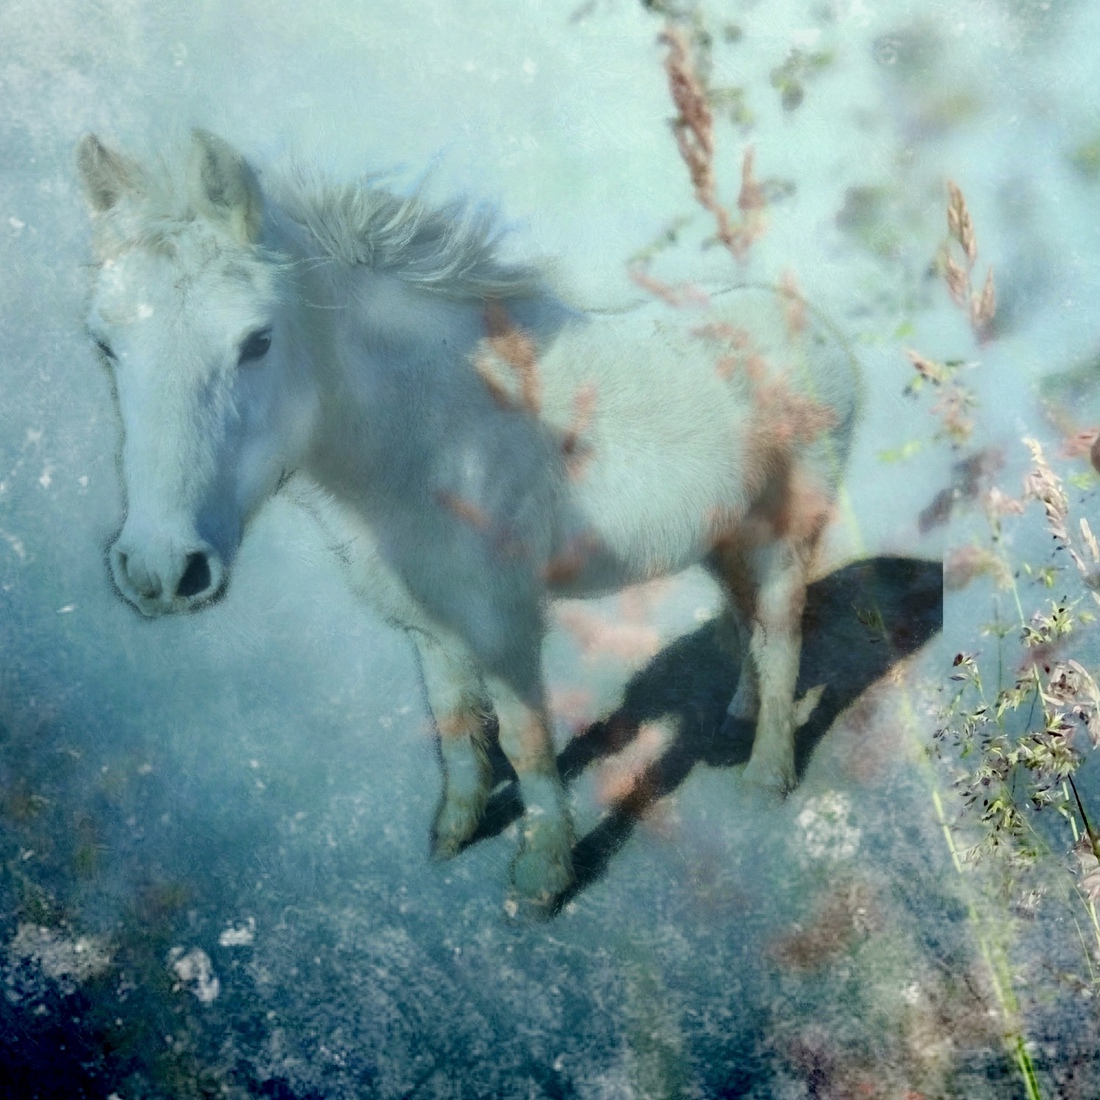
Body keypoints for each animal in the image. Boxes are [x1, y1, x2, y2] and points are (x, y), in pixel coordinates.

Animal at [76, 129, 859, 911]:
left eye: (258, 340)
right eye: (106, 344)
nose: (162, 570)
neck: (435, 430)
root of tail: (813, 325)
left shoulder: (503, 626)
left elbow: (525, 740)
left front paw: (544, 875)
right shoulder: (431, 624)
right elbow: (454, 728)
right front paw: (455, 831)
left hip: (785, 538)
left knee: (782, 637)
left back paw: (767, 774)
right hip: (723, 538)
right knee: (747, 625)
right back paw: (738, 717)